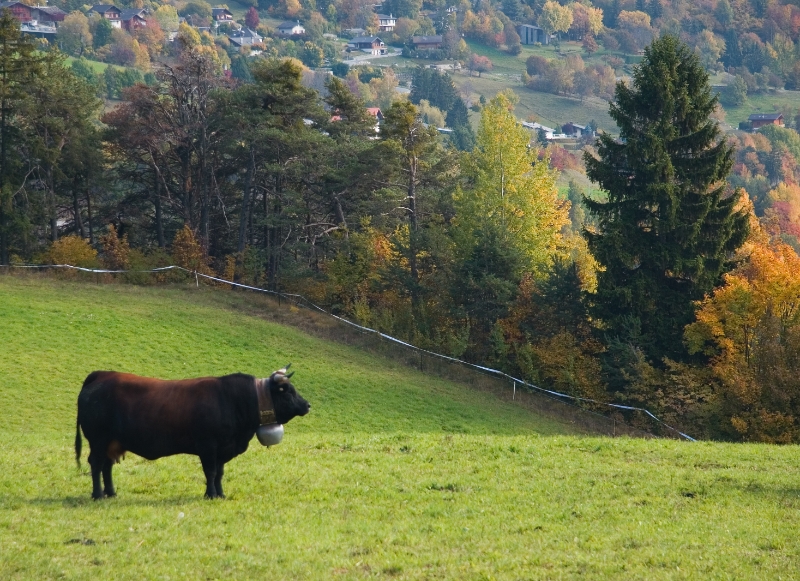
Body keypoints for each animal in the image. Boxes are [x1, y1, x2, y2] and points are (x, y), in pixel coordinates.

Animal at [73, 368, 310, 498]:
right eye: (286, 390)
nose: (307, 405)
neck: (233, 399)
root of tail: (101, 375)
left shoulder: (222, 449)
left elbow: (219, 473)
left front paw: (220, 494)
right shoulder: (208, 446)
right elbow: (211, 472)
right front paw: (210, 494)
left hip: (111, 442)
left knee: (106, 466)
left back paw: (111, 492)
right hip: (98, 440)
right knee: (96, 464)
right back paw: (98, 494)